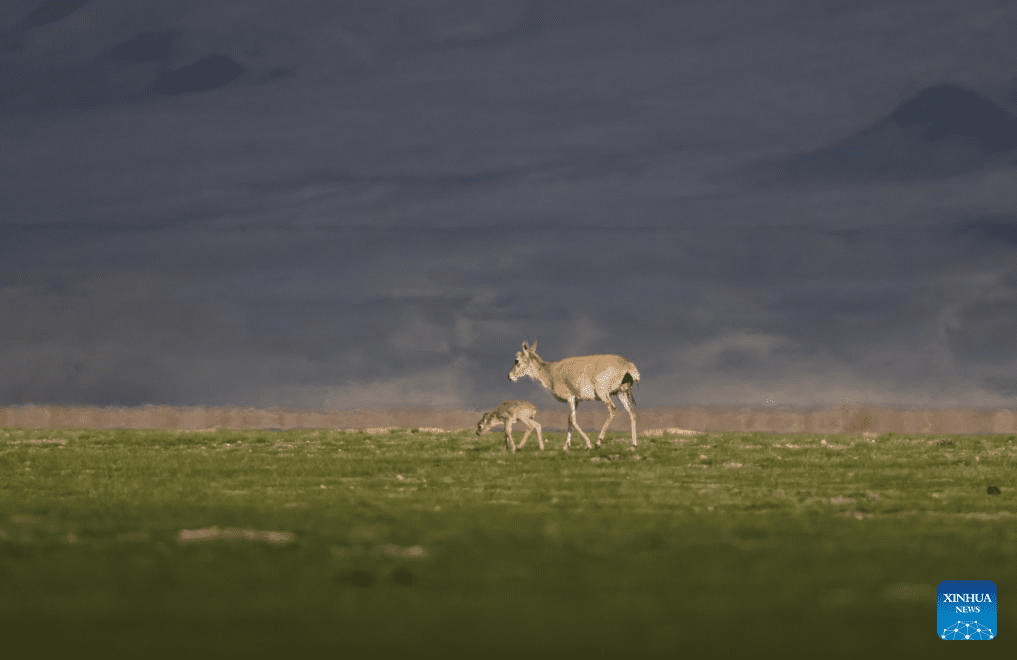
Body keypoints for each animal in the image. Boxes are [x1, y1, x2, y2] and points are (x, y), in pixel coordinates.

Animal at [508, 339, 642, 453]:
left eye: (517, 360)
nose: (510, 376)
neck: (550, 372)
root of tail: (627, 364)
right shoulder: (576, 401)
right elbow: (570, 421)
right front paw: (566, 446)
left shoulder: (570, 398)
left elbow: (572, 420)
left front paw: (588, 444)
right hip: (622, 394)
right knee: (632, 413)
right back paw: (633, 445)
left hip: (603, 394)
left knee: (612, 409)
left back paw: (599, 441)